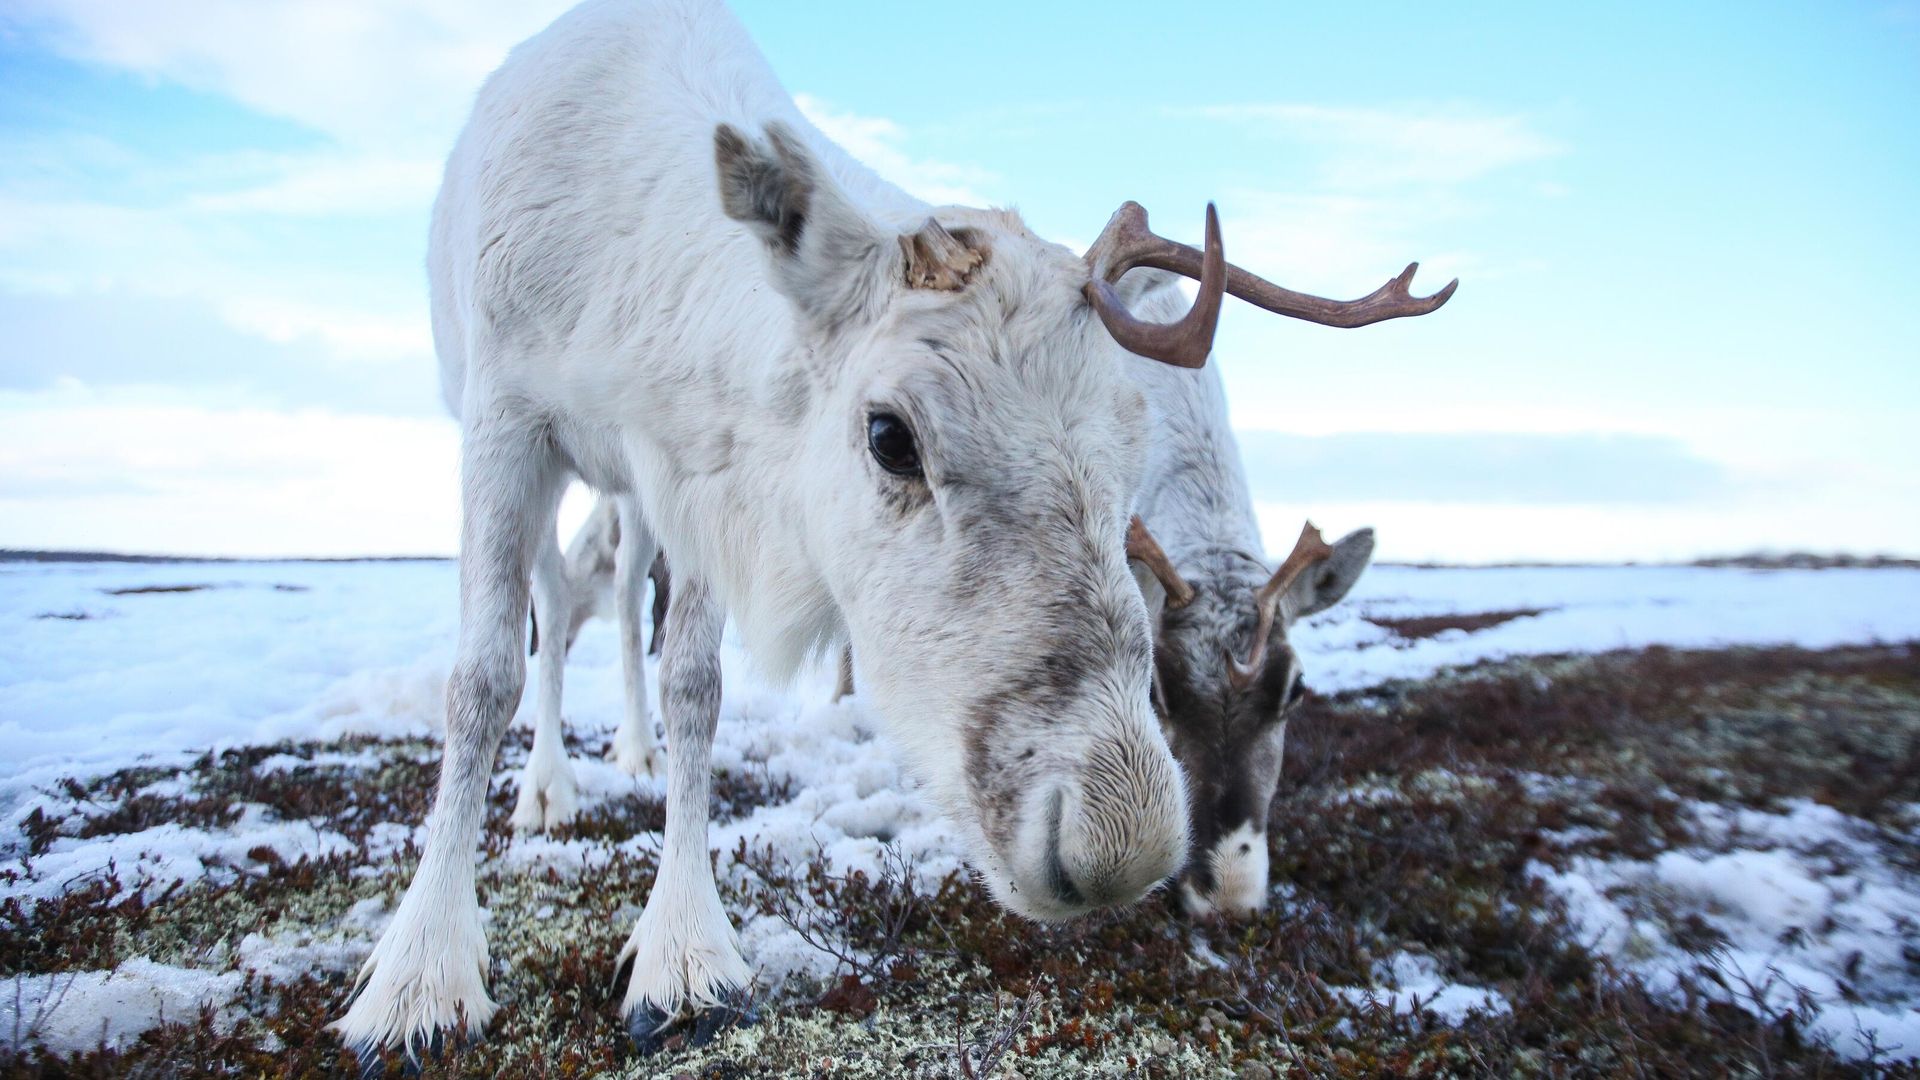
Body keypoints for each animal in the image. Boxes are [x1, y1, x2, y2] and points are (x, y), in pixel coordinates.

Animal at [333, 0, 1452, 1060]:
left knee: (616, 597)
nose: (1119, 848)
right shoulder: (506, 416)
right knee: (558, 600)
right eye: (889, 436)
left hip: (636, 499)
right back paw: (550, 788)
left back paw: (635, 751)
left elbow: (697, 687)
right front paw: (420, 979)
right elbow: (481, 678)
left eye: (1132, 449)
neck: (624, 289)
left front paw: (682, 955)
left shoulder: (702, 465)